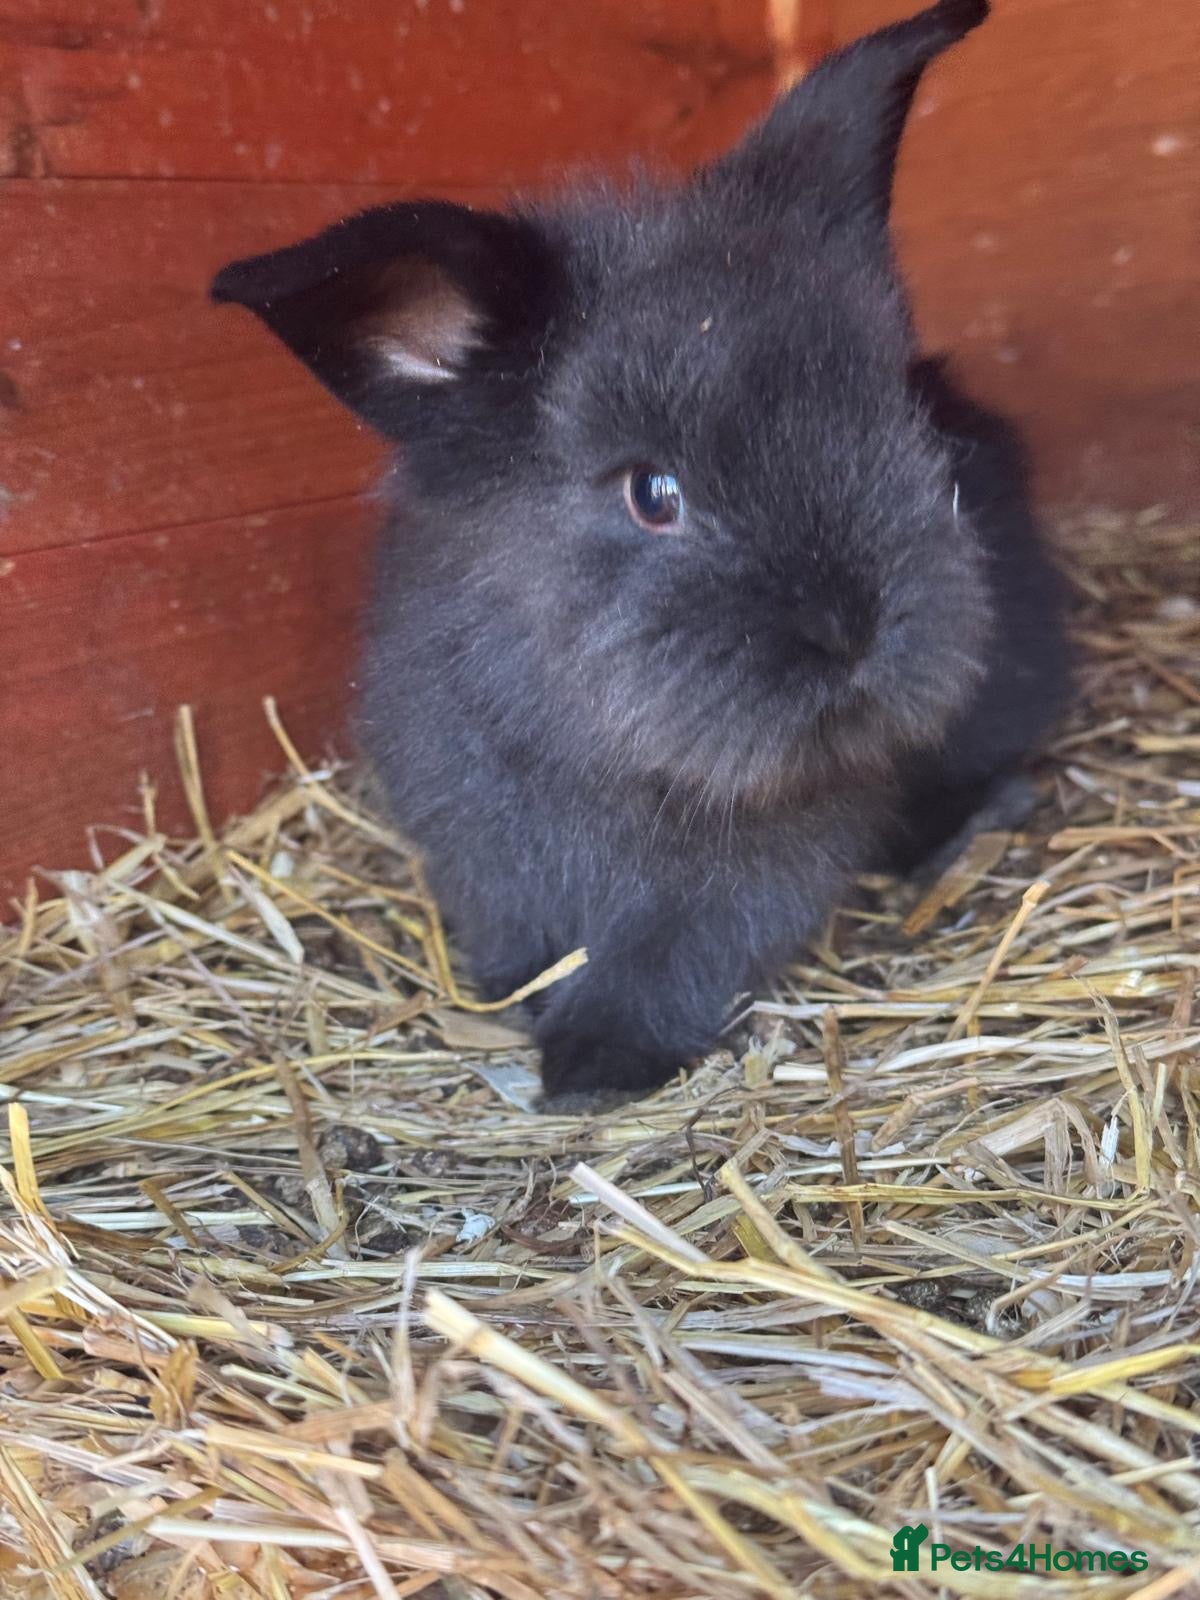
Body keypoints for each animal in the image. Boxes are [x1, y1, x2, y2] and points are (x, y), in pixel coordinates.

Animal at [213, 0, 1069, 1099]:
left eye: (898, 423)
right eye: (651, 493)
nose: (853, 630)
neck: (607, 757)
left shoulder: (741, 882)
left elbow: (674, 958)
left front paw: (593, 1063)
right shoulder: (479, 846)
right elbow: (524, 936)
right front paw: (524, 1004)